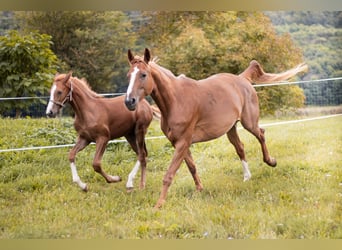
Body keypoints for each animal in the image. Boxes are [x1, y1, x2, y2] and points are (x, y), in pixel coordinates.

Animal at [125, 47, 308, 208]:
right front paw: (199, 190)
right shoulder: (178, 143)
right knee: (240, 148)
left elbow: (169, 175)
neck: (176, 100)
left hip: (249, 123)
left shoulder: (183, 142)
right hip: (231, 128)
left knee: (261, 134)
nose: (129, 101)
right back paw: (247, 177)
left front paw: (158, 205)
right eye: (128, 76)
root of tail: (242, 78)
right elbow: (192, 167)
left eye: (143, 74)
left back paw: (271, 162)